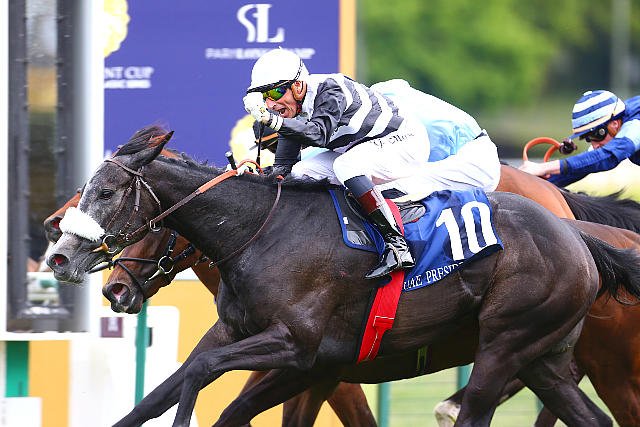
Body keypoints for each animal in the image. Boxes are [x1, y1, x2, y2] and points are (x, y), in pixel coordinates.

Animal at [45, 126, 640, 426]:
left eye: (106, 192)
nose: (60, 256)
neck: (261, 231)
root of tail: (578, 237)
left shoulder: (302, 351)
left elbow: (201, 377)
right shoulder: (262, 346)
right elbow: (161, 393)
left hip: (509, 345)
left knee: (476, 412)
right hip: (543, 356)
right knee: (590, 419)